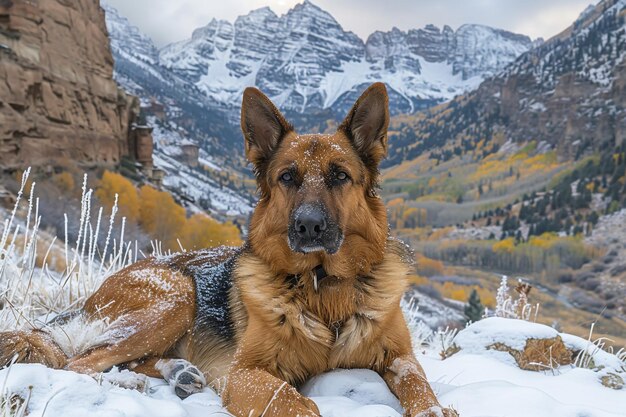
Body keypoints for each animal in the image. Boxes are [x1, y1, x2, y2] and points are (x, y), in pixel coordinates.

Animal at [2, 83, 456, 414]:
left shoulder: (400, 358)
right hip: (176, 294)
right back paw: (137, 379)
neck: (322, 288)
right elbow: (295, 401)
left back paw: (179, 371)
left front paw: (435, 409)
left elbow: (420, 386)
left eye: (340, 176)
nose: (308, 226)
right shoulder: (245, 373)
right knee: (79, 363)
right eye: (287, 177)